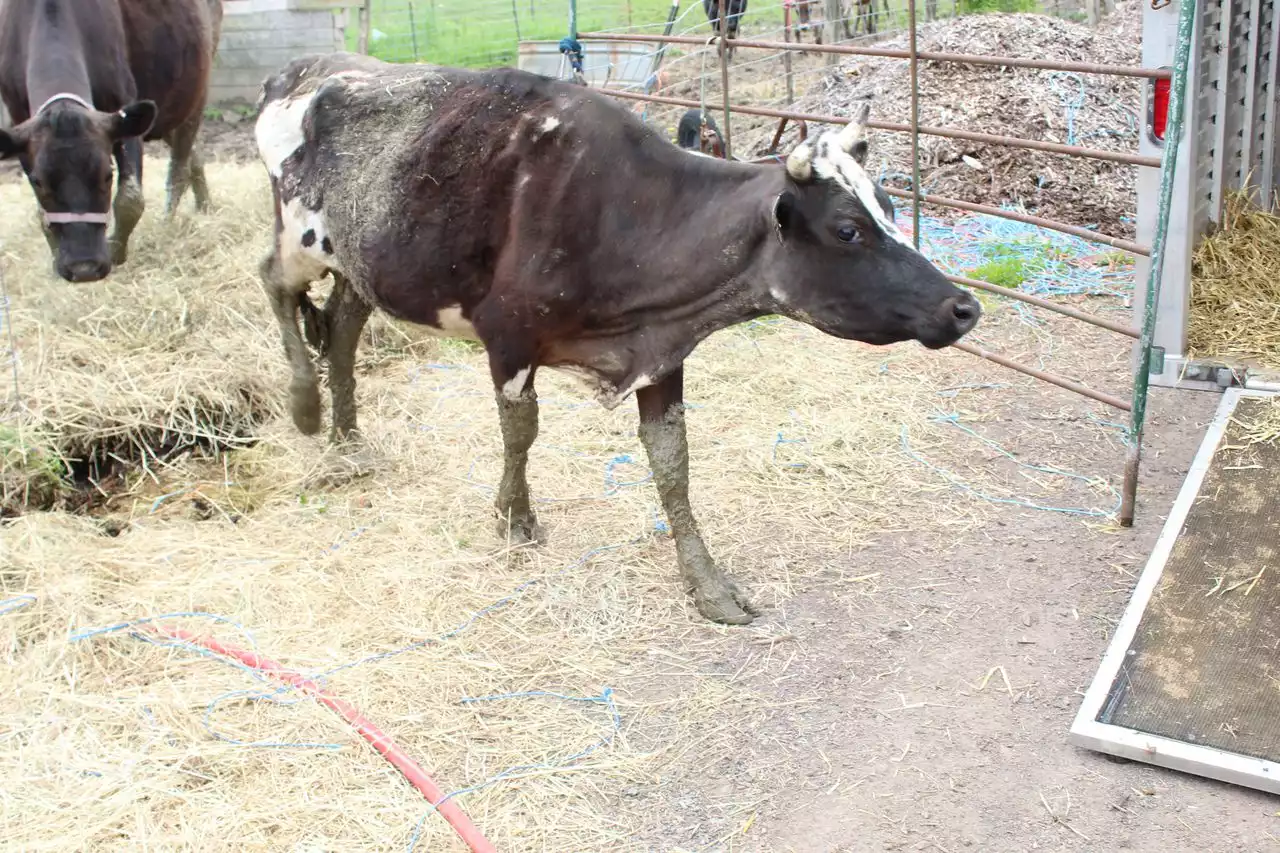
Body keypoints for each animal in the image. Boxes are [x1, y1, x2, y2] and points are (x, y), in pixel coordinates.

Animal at [0, 0, 222, 280]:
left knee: (179, 167)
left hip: (195, 94)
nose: (83, 268)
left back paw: (167, 222)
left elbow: (130, 199)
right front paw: (56, 260)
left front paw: (116, 251)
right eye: (39, 182)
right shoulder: (18, 120)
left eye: (107, 175)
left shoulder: (124, 108)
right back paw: (205, 205)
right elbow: (42, 212)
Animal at [254, 54, 983, 625]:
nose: (963, 306)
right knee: (272, 282)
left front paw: (708, 586)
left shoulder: (663, 357)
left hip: (361, 259)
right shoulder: (509, 339)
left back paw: (348, 445)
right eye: (847, 230)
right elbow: (521, 433)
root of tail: (307, 69)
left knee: (341, 329)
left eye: (890, 207)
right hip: (300, 236)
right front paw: (514, 519)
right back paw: (306, 407)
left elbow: (672, 463)